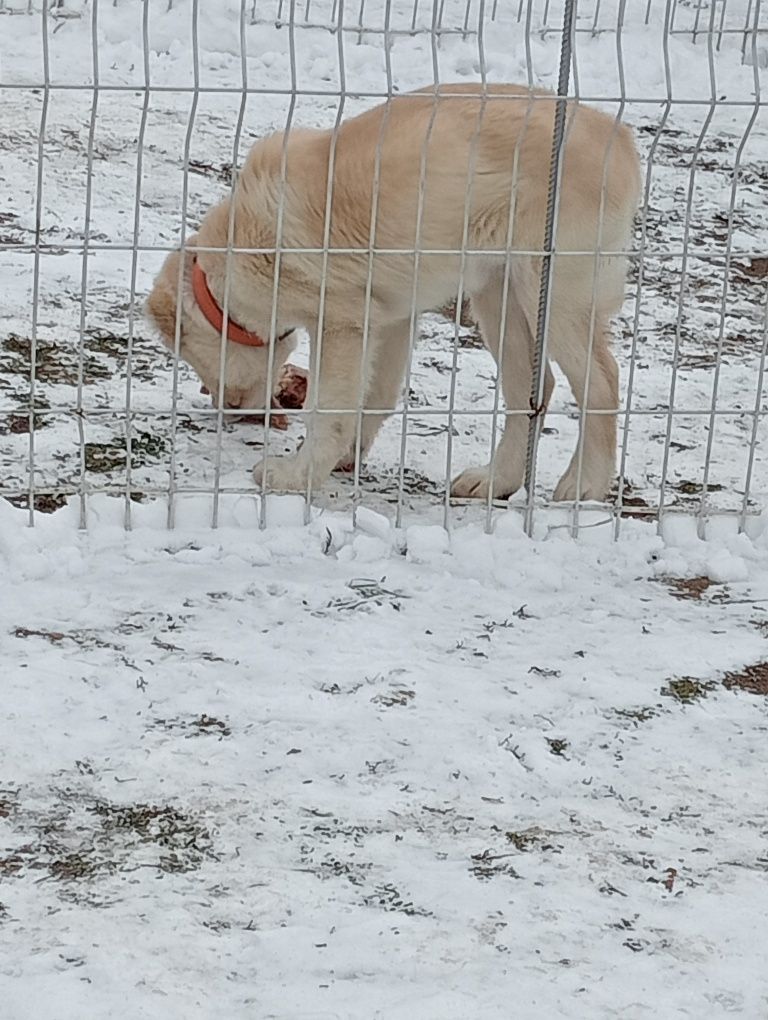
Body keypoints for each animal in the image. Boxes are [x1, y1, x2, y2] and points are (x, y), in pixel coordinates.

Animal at [146, 81, 636, 499]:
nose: (226, 411)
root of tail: (622, 138)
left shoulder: (341, 327)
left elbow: (330, 409)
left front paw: (297, 476)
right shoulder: (391, 320)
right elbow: (373, 398)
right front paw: (342, 459)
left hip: (551, 294)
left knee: (602, 383)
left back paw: (585, 485)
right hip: (499, 298)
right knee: (532, 391)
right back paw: (496, 480)